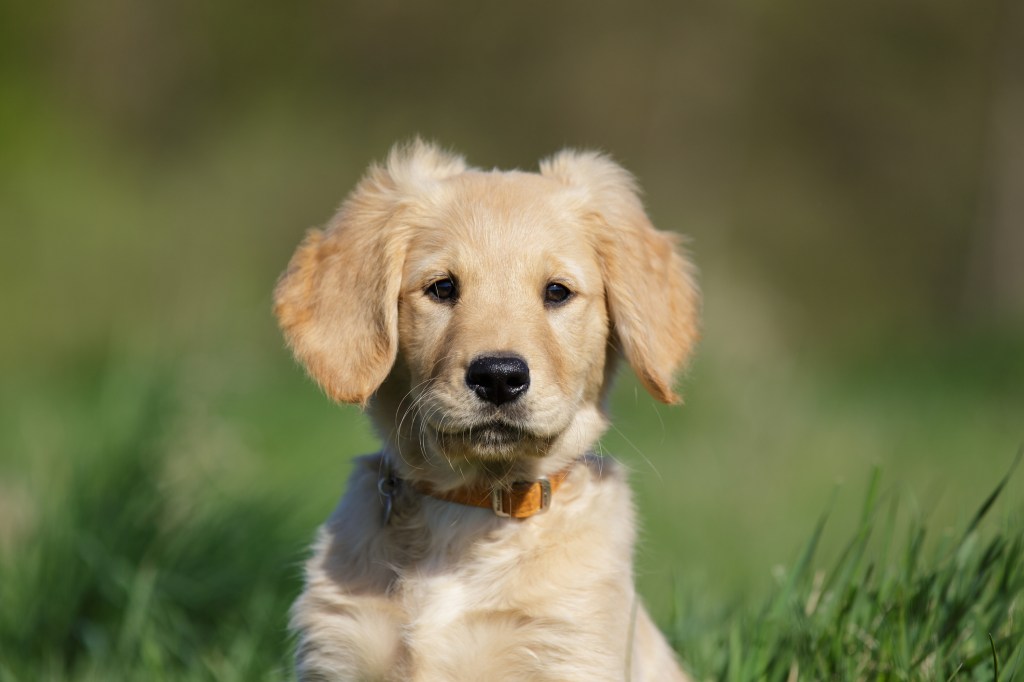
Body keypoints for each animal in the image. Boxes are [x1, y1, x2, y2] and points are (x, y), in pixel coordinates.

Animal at [276, 140, 700, 675]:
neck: (471, 508)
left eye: (557, 291)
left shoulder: (572, 649)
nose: (499, 377)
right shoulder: (339, 648)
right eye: (442, 287)